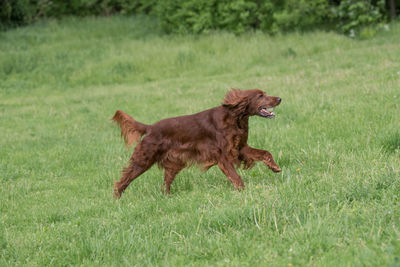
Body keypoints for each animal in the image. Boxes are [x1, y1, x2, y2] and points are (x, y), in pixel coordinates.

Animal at [112, 89, 282, 198]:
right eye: (260, 95)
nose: (279, 99)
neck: (235, 117)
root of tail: (150, 127)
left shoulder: (240, 148)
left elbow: (265, 152)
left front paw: (275, 167)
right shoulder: (223, 156)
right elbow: (236, 177)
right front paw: (243, 192)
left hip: (173, 164)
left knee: (165, 184)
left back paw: (168, 198)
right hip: (144, 159)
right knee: (123, 180)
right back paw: (117, 198)